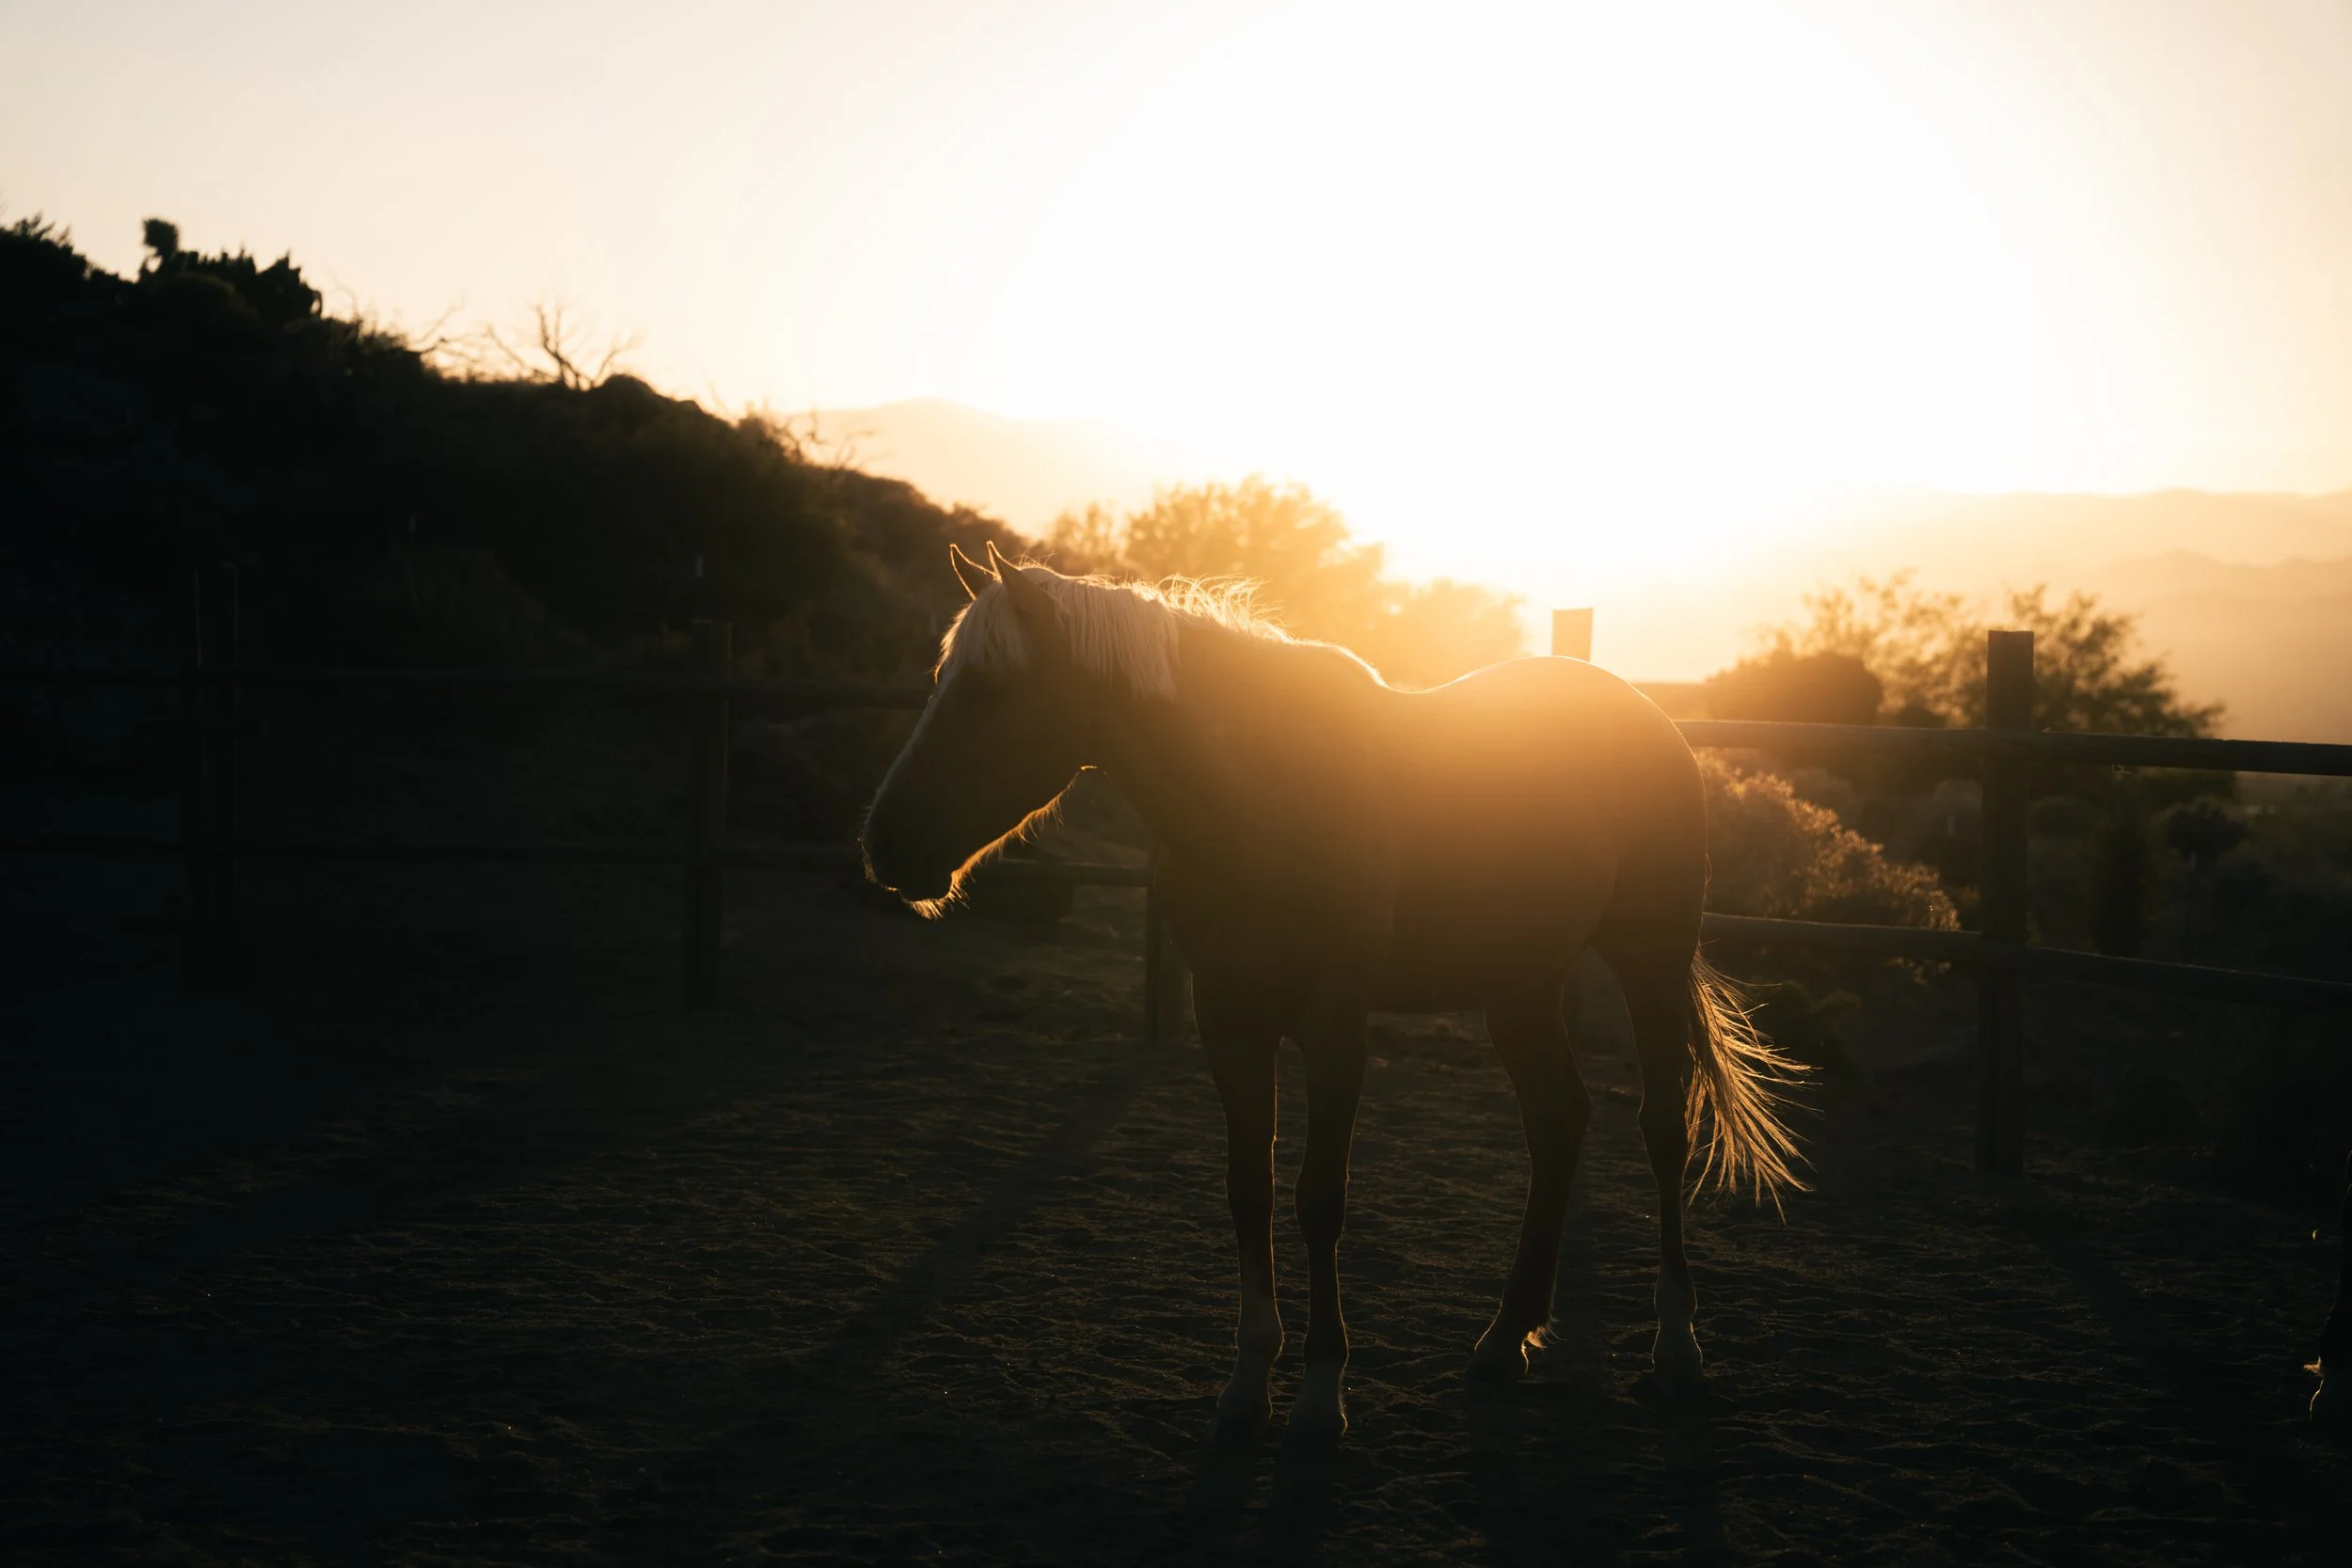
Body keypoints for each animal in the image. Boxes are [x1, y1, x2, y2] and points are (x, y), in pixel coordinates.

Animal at [860, 541, 1802, 1447]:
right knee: (1558, 1122)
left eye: (990, 691)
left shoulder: (1334, 1022)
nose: (885, 844)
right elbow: (1249, 1189)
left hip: (1649, 962)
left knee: (1663, 1131)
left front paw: (1319, 1398)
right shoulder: (1229, 1021)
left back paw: (1676, 1349)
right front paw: (1244, 1394)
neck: (1262, 796)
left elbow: (1320, 1198)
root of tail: (1650, 717)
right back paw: (1505, 1339)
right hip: (1521, 985)